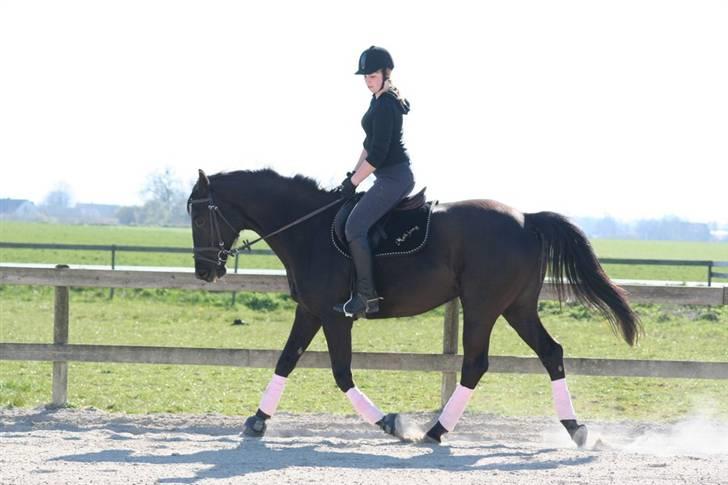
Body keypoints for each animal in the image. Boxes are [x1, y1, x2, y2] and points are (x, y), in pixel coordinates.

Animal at [189, 167, 644, 446]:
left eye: (197, 217)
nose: (204, 271)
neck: (308, 228)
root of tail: (526, 218)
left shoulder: (336, 316)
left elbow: (341, 373)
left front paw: (392, 423)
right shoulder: (310, 311)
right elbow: (285, 360)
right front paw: (257, 420)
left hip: (482, 306)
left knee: (475, 364)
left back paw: (436, 430)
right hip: (517, 307)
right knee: (551, 353)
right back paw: (577, 430)